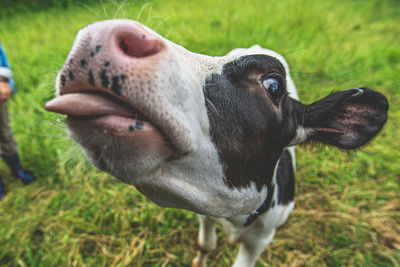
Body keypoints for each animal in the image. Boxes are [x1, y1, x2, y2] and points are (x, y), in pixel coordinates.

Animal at [44, 19, 388, 267]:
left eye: (273, 85)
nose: (100, 33)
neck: (236, 218)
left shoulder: (263, 237)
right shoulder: (205, 210)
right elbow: (205, 243)